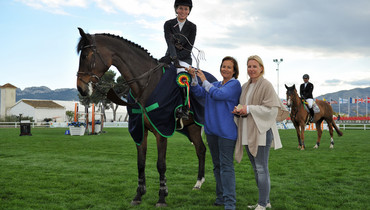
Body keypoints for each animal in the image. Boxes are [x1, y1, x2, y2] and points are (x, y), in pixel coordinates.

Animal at [76, 27, 208, 207]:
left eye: (85, 55)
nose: (81, 89)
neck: (145, 84)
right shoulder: (140, 130)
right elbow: (141, 163)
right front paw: (138, 195)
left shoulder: (161, 131)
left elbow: (161, 164)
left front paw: (162, 197)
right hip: (192, 127)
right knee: (200, 149)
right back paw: (198, 183)